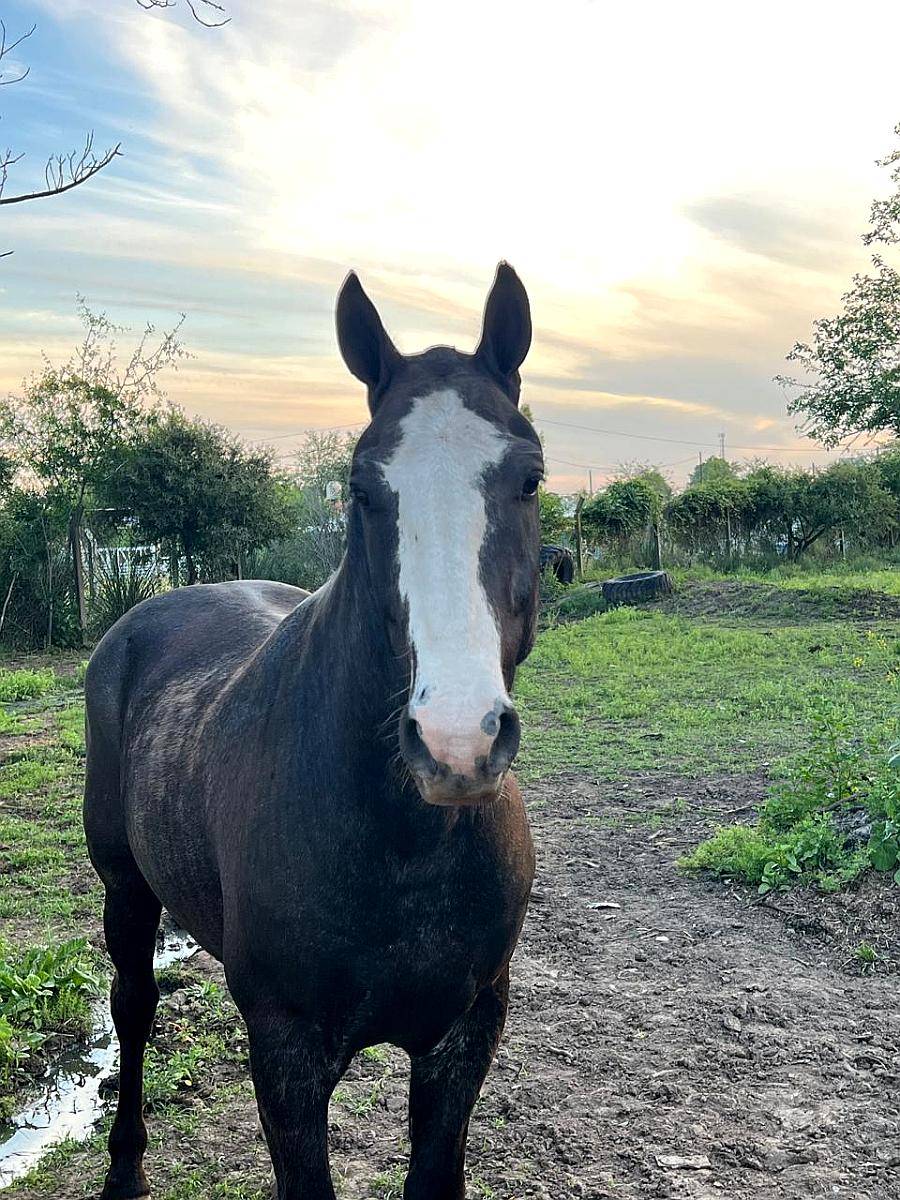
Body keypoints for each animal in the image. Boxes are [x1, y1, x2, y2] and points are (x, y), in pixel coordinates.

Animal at [83, 262, 542, 1200]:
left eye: (530, 478)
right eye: (362, 489)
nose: (457, 740)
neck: (404, 844)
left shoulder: (466, 1035)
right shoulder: (288, 1057)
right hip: (125, 891)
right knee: (134, 1010)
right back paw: (125, 1169)